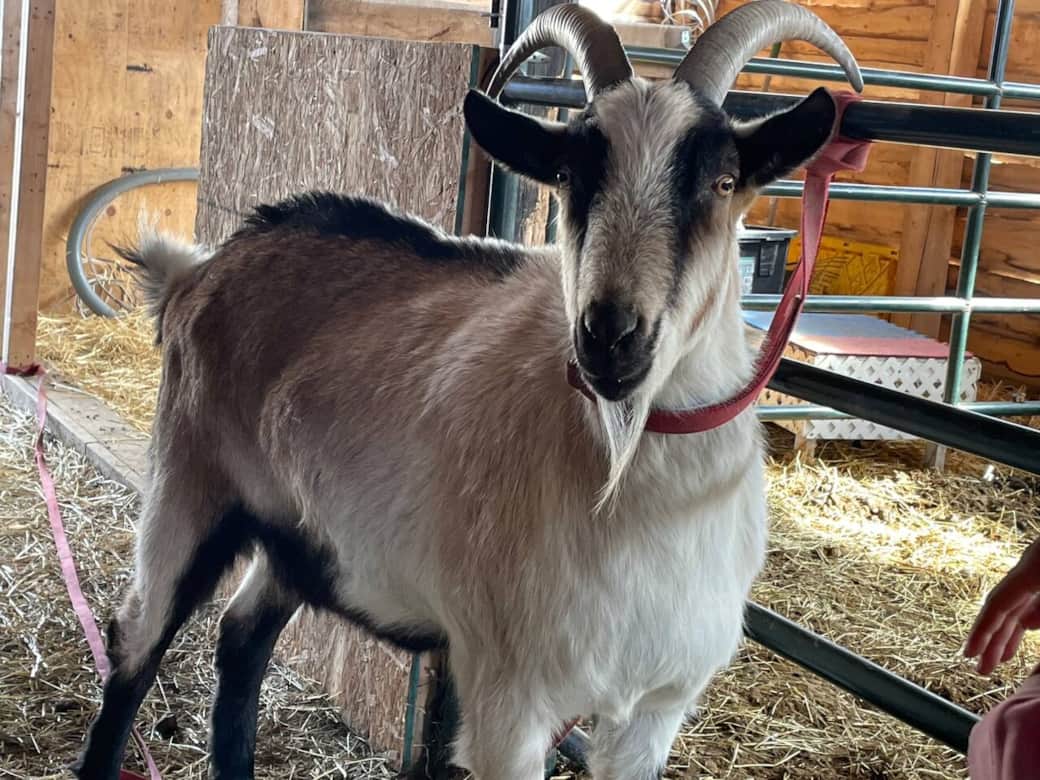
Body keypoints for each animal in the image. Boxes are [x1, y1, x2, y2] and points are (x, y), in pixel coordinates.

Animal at [74, 3, 861, 778]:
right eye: (570, 175)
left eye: (724, 180)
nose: (610, 335)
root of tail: (199, 270)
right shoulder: (508, 701)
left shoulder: (655, 709)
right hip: (188, 481)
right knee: (136, 639)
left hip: (303, 532)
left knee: (242, 636)